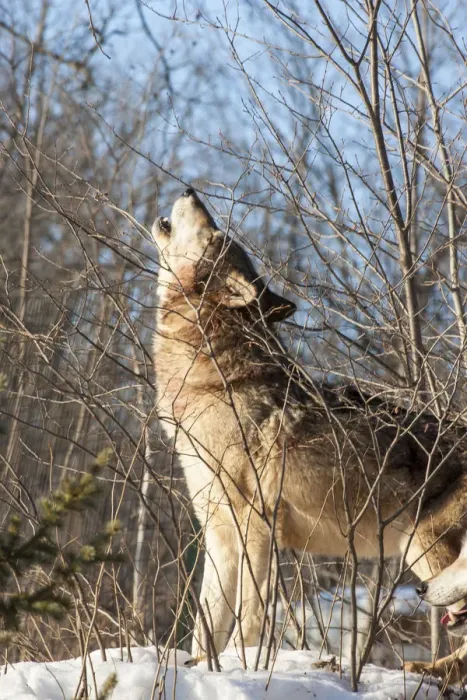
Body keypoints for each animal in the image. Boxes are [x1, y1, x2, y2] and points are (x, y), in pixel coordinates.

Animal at [152, 188, 467, 680]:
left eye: (213, 233)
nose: (189, 189)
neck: (212, 380)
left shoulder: (257, 526)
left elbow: (248, 616)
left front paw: (243, 665)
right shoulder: (219, 534)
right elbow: (206, 624)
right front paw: (203, 668)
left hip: (424, 547)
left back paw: (427, 670)